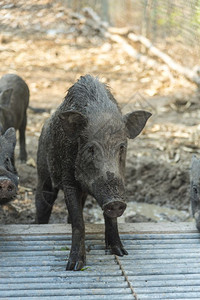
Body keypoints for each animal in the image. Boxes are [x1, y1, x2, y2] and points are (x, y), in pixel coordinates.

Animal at [36, 74, 152, 270]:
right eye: (91, 148)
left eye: (122, 147)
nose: (115, 202)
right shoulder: (68, 180)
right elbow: (78, 221)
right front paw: (74, 266)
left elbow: (110, 220)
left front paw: (120, 252)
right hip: (42, 173)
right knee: (42, 204)